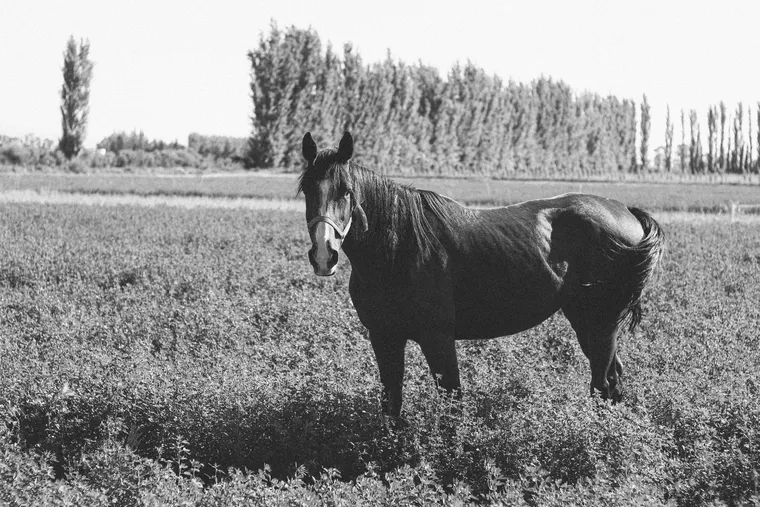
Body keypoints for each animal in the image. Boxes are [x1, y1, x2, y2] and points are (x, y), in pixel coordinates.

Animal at [298, 131, 664, 417]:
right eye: (307, 190)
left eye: (346, 191)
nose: (324, 255)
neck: (399, 246)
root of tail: (625, 211)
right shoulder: (384, 336)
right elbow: (392, 404)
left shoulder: (438, 338)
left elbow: (452, 402)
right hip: (586, 321)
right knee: (612, 380)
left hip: (603, 323)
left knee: (603, 383)